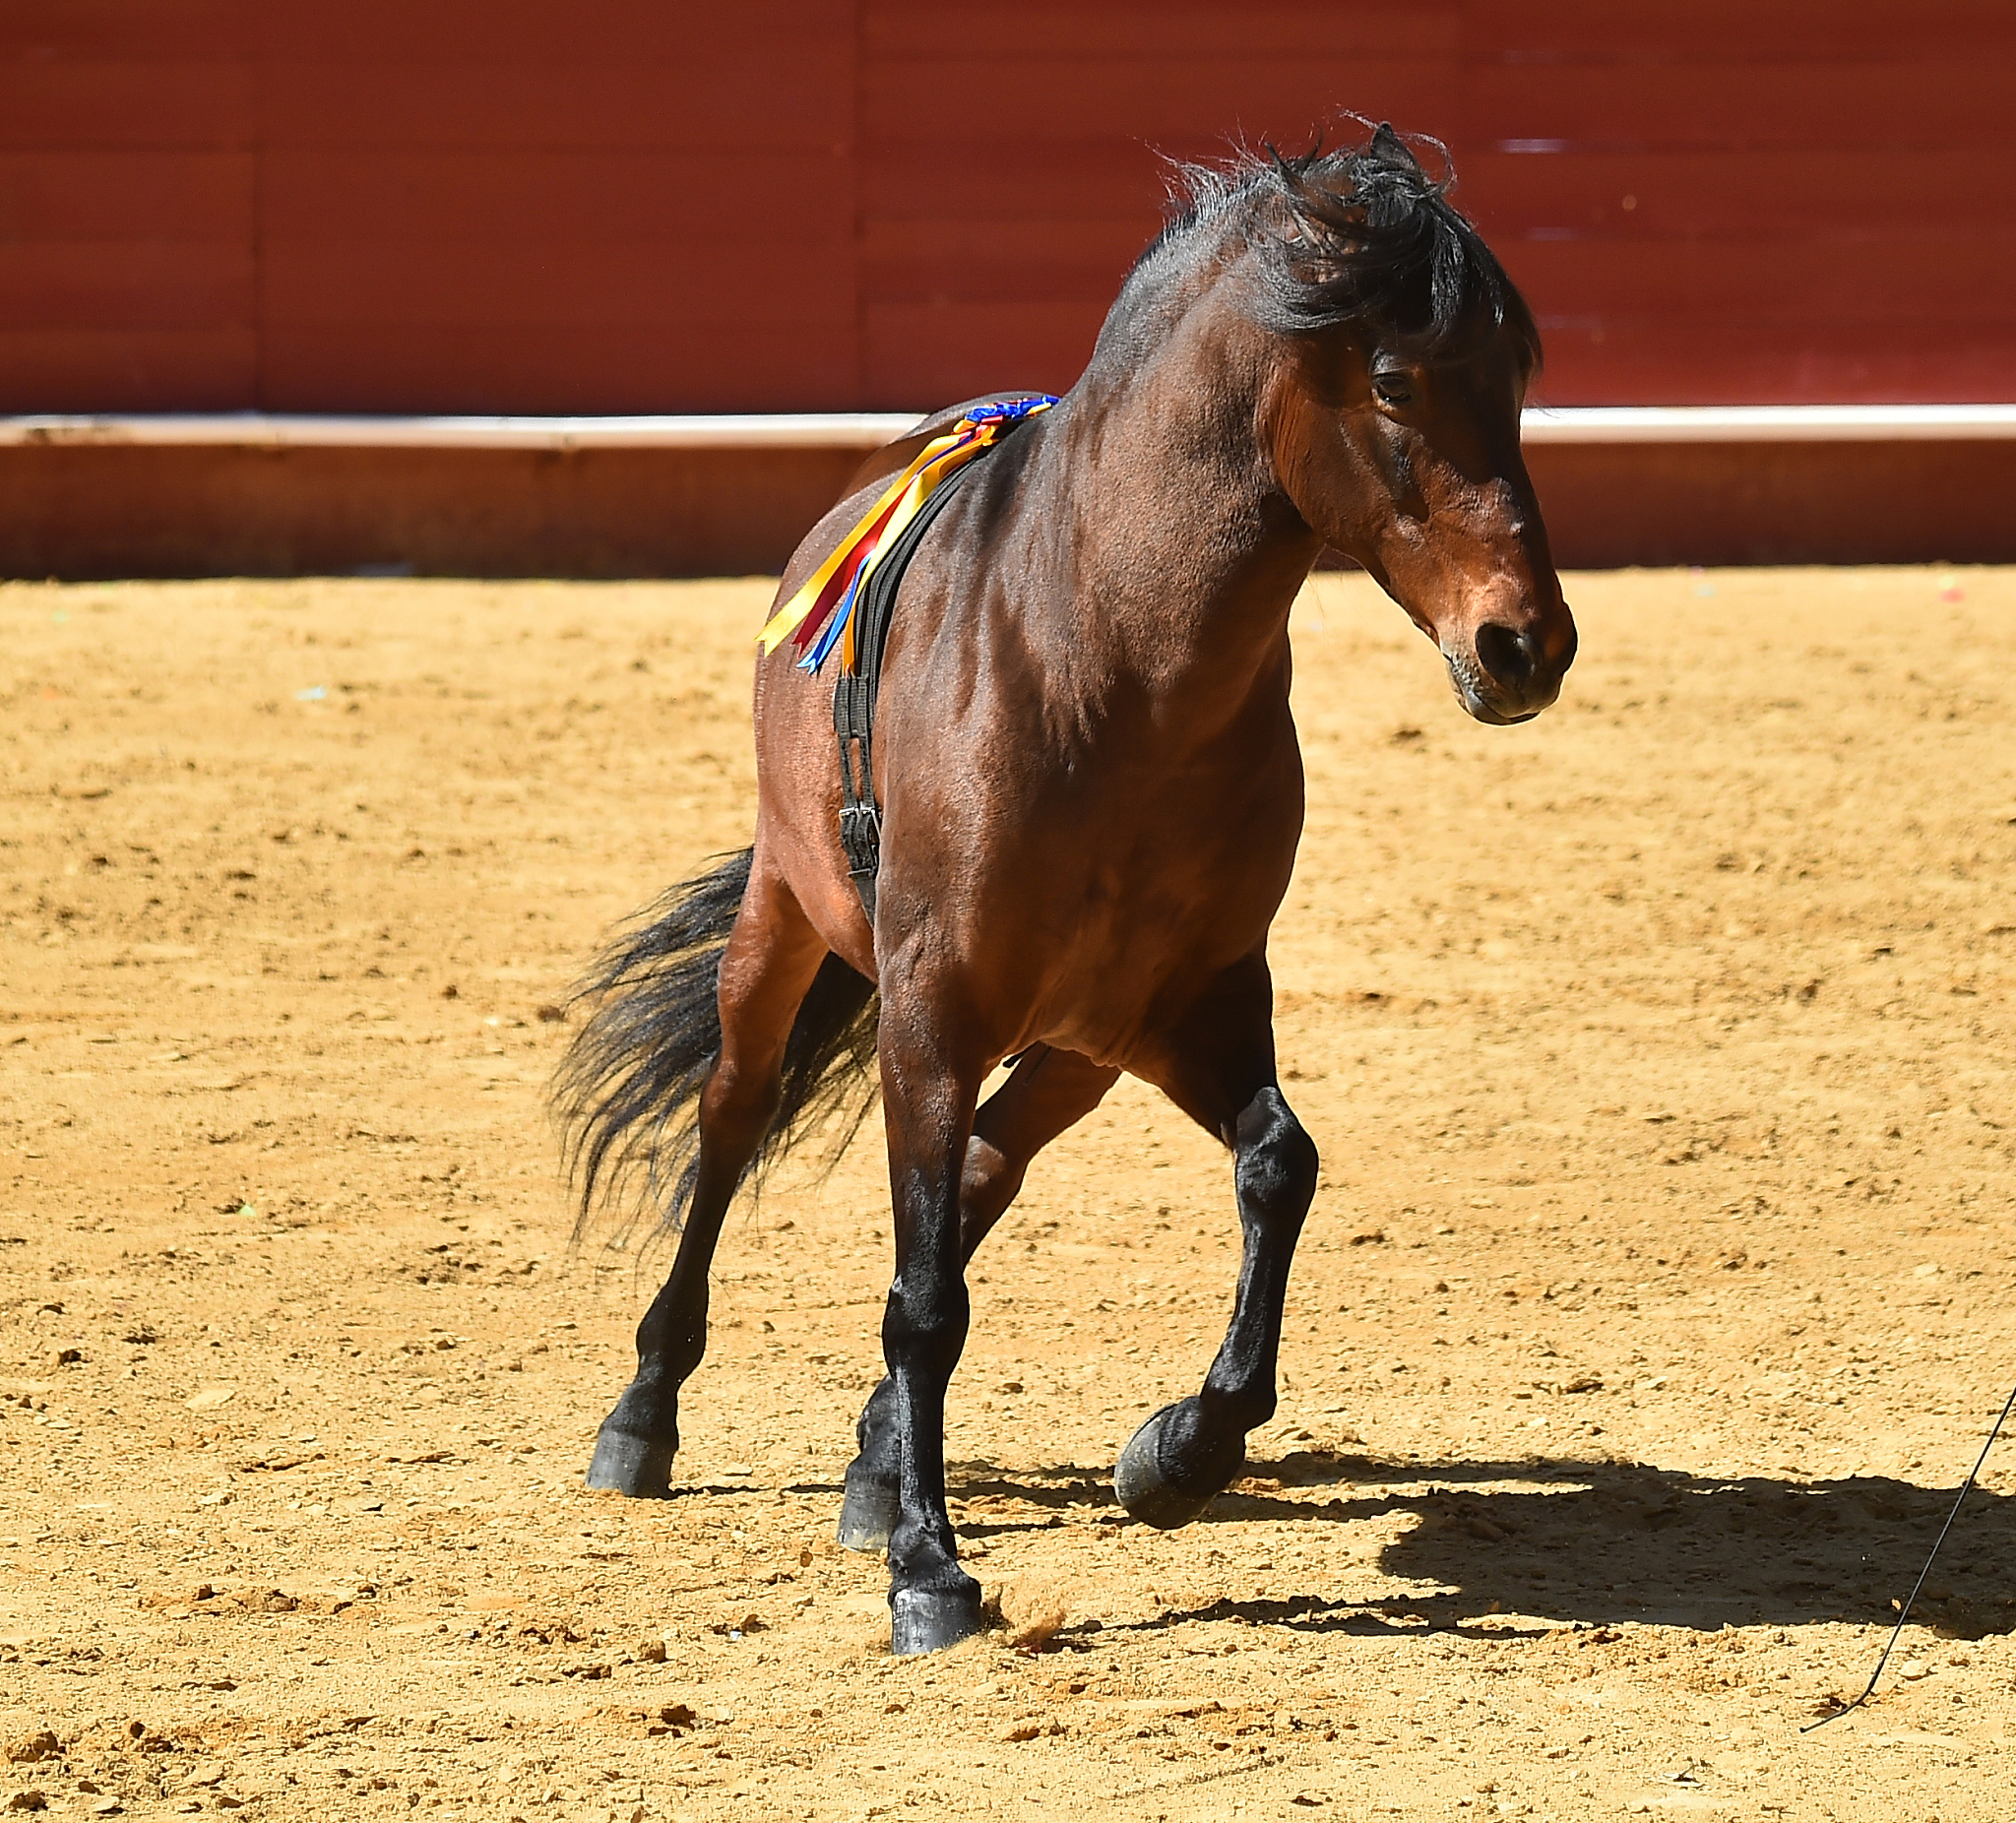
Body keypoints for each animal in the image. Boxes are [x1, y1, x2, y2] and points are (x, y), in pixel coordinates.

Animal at [555, 124, 1577, 1656]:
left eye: (1515, 379)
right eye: (1397, 380)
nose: (1526, 645)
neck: (1111, 668)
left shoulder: (1188, 1003)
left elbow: (1277, 1165)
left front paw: (1171, 1456)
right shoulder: (929, 1006)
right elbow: (923, 1295)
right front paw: (929, 1573)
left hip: (1074, 1050)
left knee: (985, 1166)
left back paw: (874, 1460)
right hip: (786, 924)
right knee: (734, 1122)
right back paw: (644, 1421)